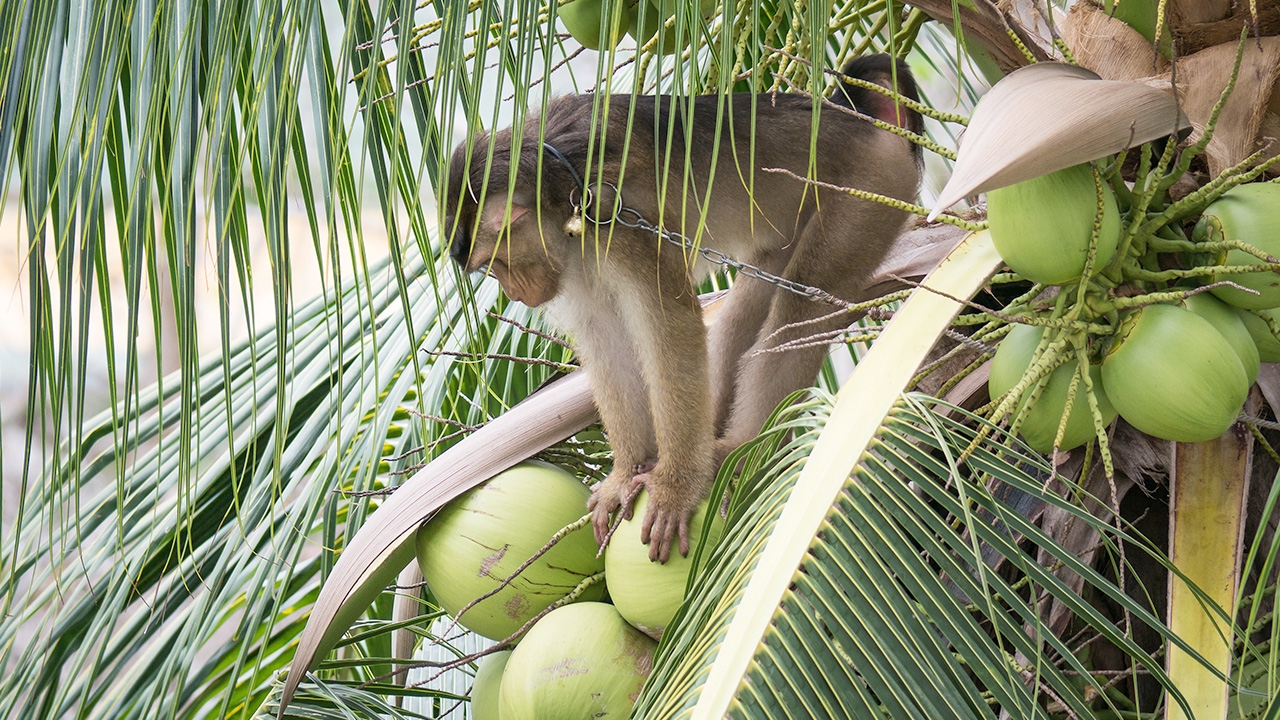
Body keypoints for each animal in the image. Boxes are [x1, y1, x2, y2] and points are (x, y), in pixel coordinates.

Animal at [442, 54, 921, 561]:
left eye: (494, 265)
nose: (513, 293)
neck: (556, 182)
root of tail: (858, 122)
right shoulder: (575, 254)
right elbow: (605, 338)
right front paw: (627, 473)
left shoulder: (619, 222)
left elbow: (670, 329)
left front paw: (674, 488)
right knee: (748, 306)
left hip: (871, 190)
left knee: (802, 303)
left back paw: (742, 446)